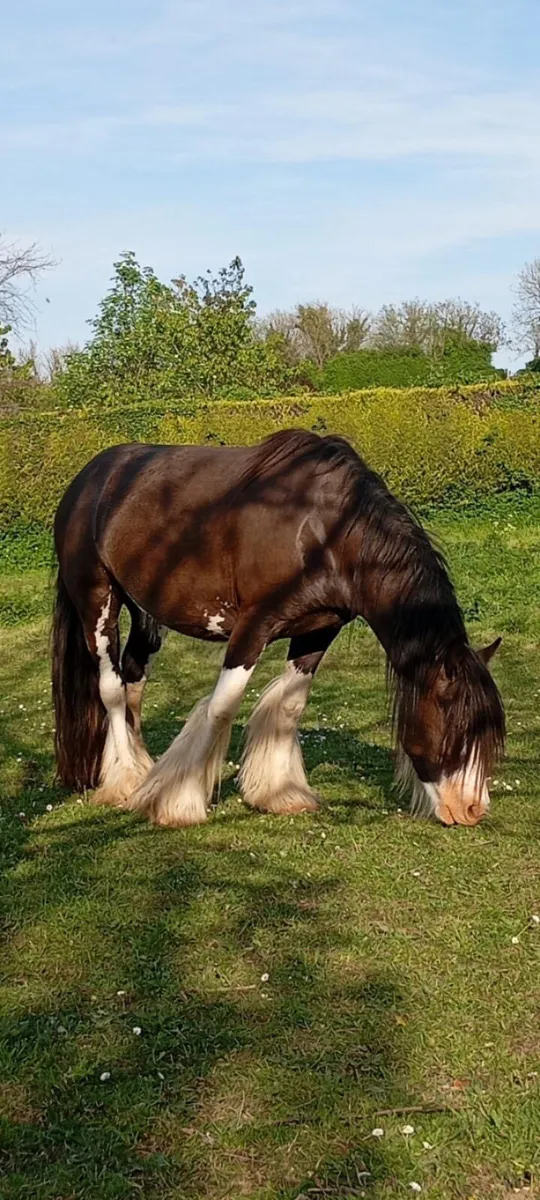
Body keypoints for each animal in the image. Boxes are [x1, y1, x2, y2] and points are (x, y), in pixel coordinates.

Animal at [52, 429, 505, 828]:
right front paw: (177, 802)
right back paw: (125, 781)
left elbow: (289, 707)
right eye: (458, 730)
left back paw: (142, 767)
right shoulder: (253, 627)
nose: (471, 810)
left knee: (133, 679)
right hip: (97, 601)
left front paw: (279, 793)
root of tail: (88, 478)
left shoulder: (318, 631)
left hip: (146, 613)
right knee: (111, 688)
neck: (324, 532)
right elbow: (221, 708)